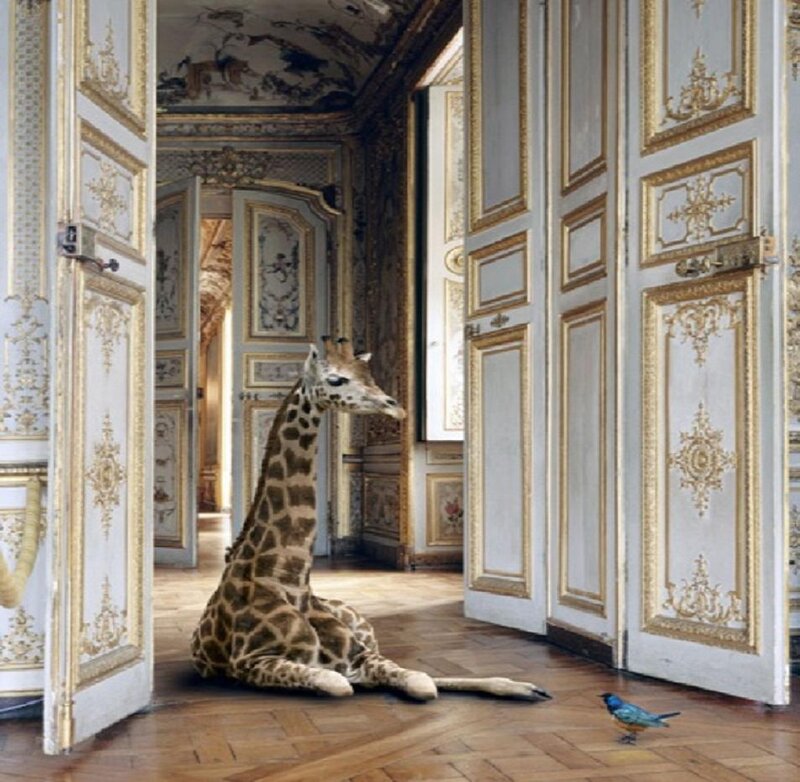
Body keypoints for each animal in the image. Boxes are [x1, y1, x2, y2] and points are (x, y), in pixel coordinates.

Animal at [191, 337, 551, 702]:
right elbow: (338, 684)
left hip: (364, 627)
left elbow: (421, 681)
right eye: (336, 379)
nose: (396, 407)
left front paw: (519, 685)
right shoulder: (250, 661)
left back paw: (526, 687)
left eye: (370, 375)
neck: (289, 578)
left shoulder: (359, 655)